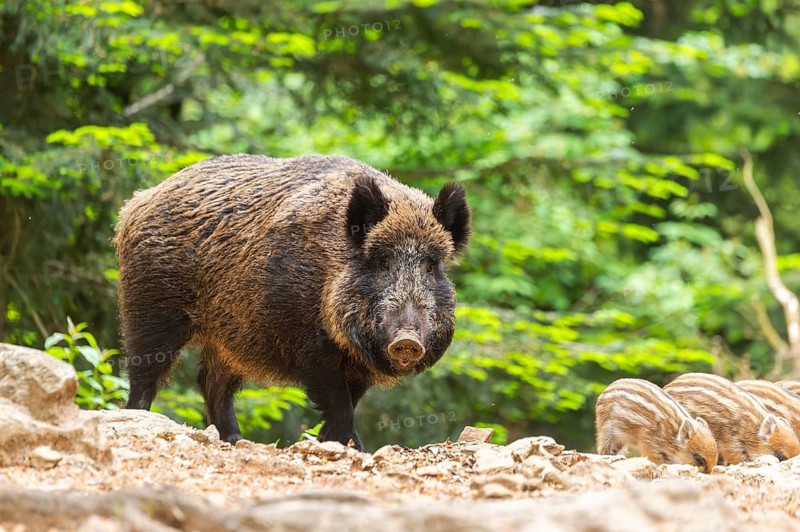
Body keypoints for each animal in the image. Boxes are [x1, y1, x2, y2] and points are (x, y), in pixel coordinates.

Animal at [114, 154, 471, 449]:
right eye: (382, 262)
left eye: (431, 266)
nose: (407, 341)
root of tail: (135, 203)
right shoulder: (307, 346)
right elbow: (338, 401)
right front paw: (349, 446)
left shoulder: (356, 365)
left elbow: (349, 401)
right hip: (149, 308)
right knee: (144, 373)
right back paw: (141, 417)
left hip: (227, 337)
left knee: (211, 383)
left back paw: (234, 440)